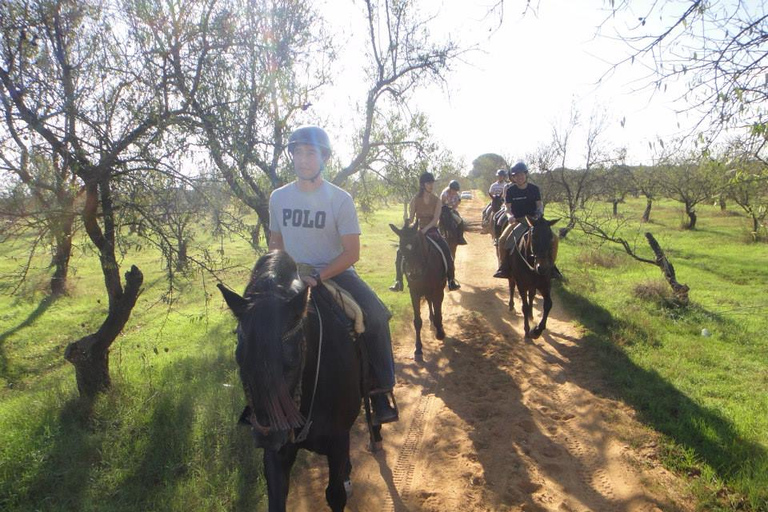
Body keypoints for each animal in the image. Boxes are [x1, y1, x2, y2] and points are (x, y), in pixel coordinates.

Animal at [218, 252, 374, 512]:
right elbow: (277, 498)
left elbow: (335, 495)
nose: (267, 436)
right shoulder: (277, 453)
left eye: (293, 359)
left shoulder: (338, 440)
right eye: (240, 358)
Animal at [388, 222, 448, 362]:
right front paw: (418, 349)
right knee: (430, 302)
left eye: (417, 245)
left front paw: (440, 333)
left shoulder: (437, 290)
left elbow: (438, 312)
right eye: (401, 249)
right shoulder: (414, 292)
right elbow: (417, 321)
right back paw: (431, 322)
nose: (413, 274)